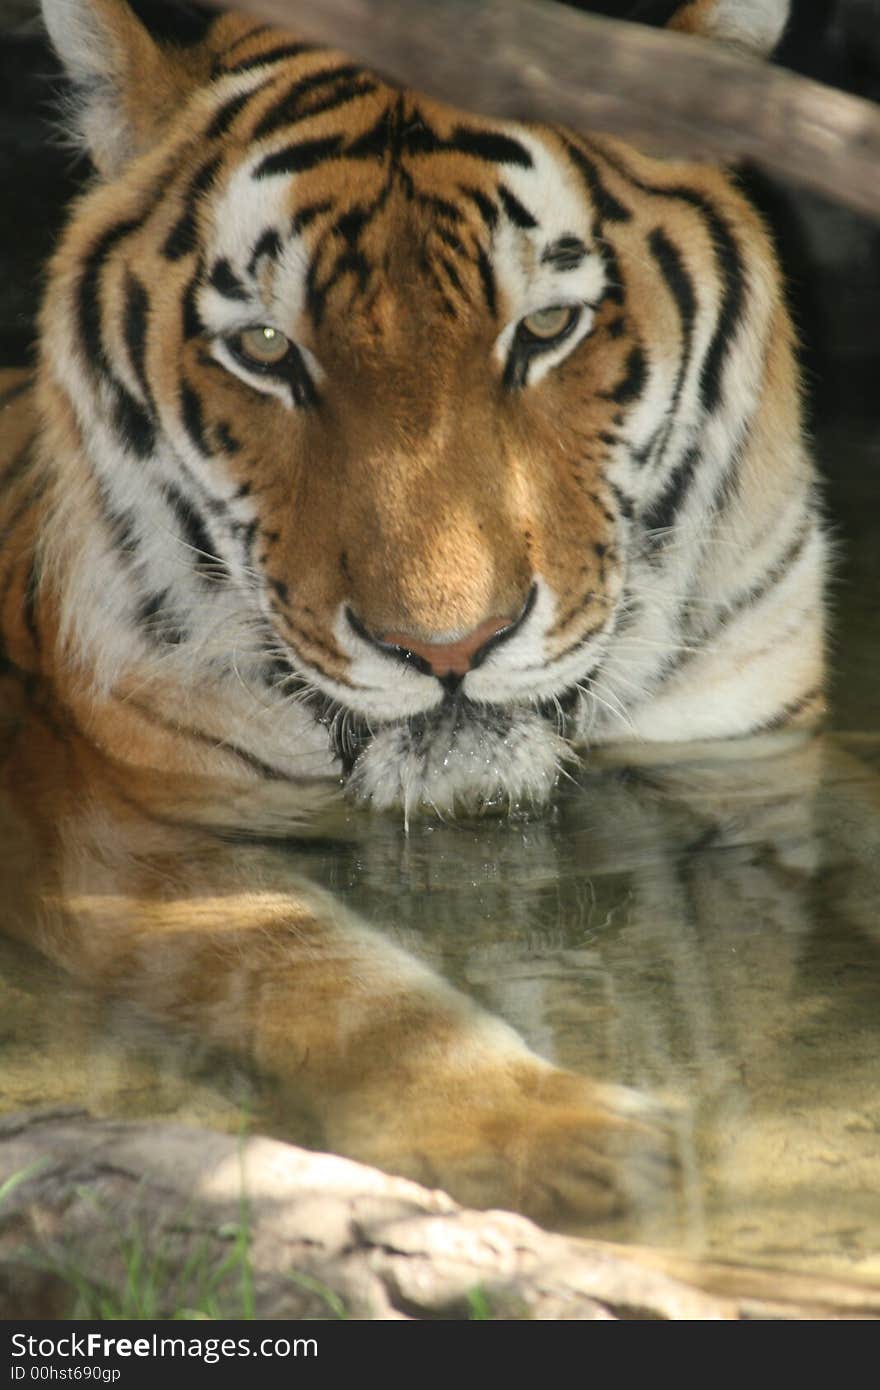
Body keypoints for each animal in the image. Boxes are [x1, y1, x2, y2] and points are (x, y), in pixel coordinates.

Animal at [0, 0, 828, 1234]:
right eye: (264, 348)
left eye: (548, 327)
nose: (447, 647)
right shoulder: (110, 816)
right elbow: (316, 965)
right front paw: (547, 1136)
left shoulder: (748, 754)